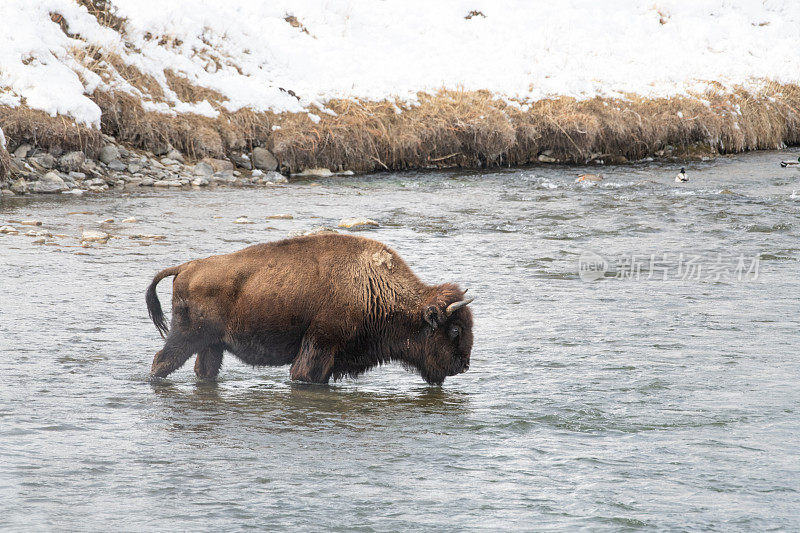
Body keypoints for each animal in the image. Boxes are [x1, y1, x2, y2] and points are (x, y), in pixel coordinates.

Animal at [145, 233, 476, 382]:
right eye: (454, 330)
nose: (462, 366)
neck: (372, 286)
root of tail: (186, 267)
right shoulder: (320, 345)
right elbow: (304, 375)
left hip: (211, 345)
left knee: (204, 370)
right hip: (186, 336)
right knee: (162, 360)